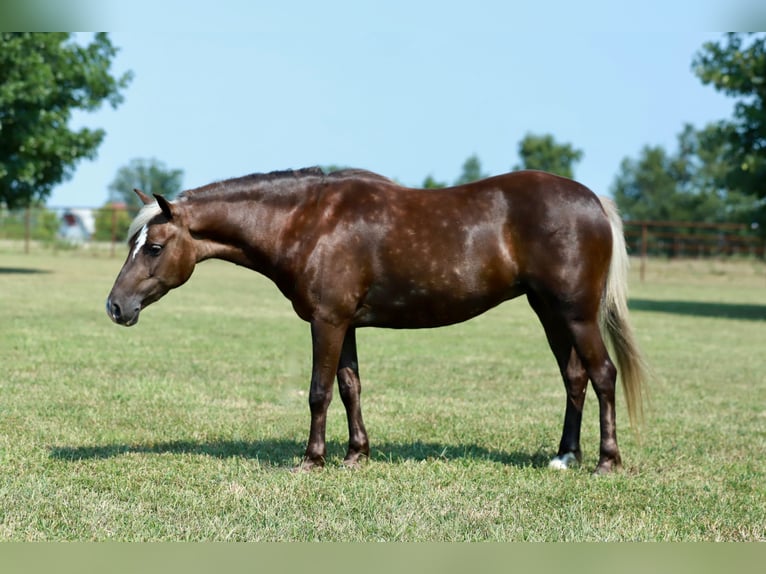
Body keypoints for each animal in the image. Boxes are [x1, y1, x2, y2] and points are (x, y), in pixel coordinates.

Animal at [106, 167, 647, 475]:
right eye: (134, 243)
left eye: (154, 247)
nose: (115, 306)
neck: (311, 222)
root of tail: (593, 200)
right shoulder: (345, 324)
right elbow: (350, 387)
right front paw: (355, 454)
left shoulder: (326, 321)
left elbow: (319, 391)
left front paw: (312, 459)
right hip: (549, 313)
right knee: (574, 378)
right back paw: (564, 456)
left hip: (576, 315)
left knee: (602, 375)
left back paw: (606, 461)